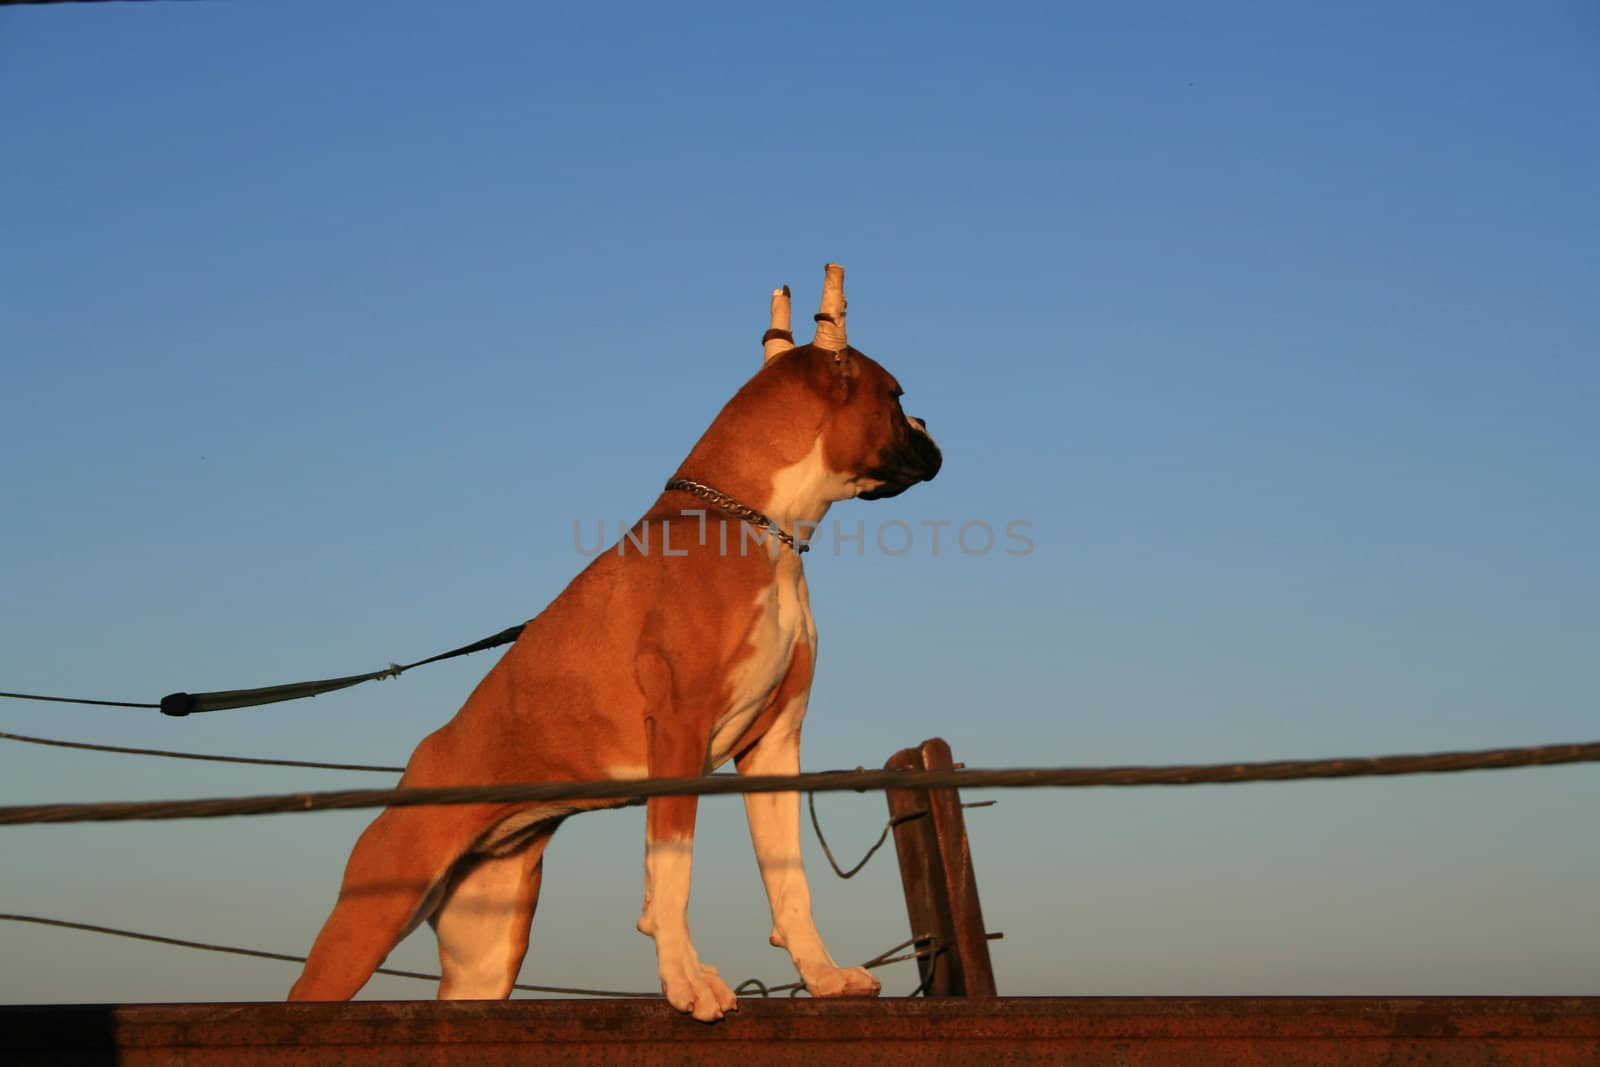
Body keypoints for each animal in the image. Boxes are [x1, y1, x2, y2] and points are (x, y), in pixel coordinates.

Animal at [291, 262, 934, 1023]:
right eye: (897, 397)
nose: (929, 429)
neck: (751, 525)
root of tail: (423, 762)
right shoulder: (680, 729)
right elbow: (671, 871)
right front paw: (685, 979)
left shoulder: (774, 745)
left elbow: (790, 881)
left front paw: (824, 975)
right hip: (369, 917)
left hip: (485, 949)